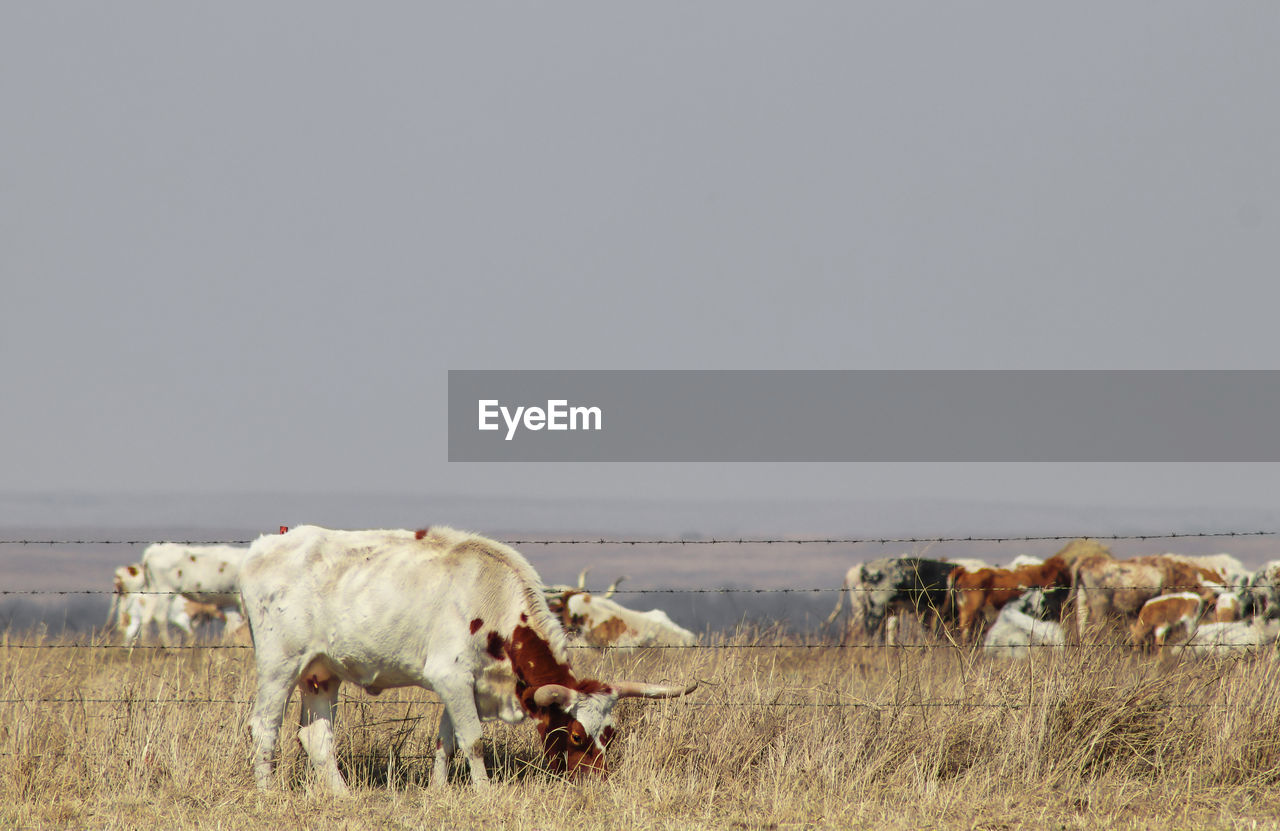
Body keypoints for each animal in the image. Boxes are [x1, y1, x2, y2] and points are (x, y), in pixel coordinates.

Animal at [240, 524, 701, 788]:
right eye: (575, 736)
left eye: (612, 733)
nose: (598, 782)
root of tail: (265, 546)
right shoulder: (451, 677)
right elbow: (474, 741)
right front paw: (484, 793)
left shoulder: (464, 684)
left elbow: (447, 741)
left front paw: (438, 791)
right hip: (279, 666)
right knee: (264, 728)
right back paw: (267, 792)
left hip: (320, 672)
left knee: (318, 737)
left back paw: (343, 796)